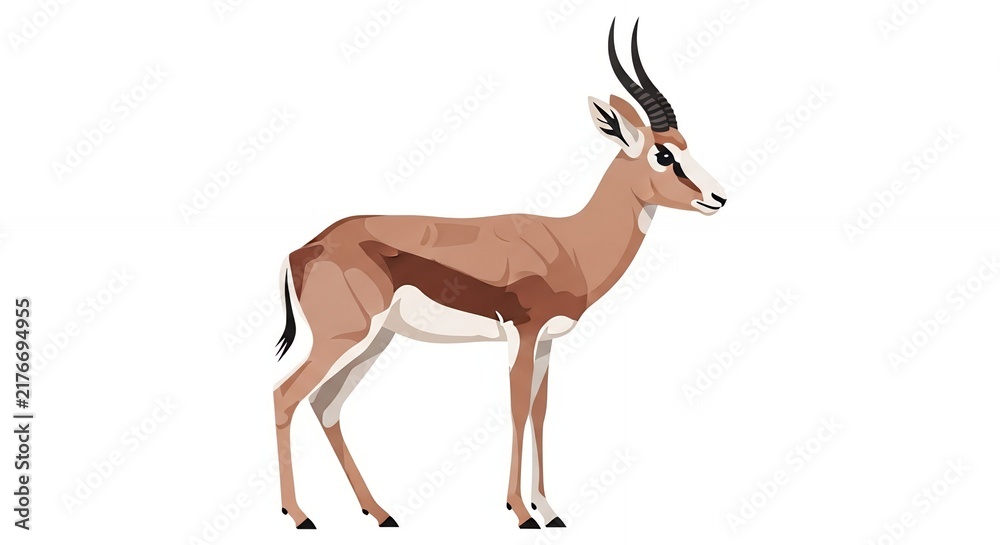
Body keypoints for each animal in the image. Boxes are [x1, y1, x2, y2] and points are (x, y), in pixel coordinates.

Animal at [271, 19, 727, 530]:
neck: (571, 244)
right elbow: (516, 410)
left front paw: (550, 510)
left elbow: (541, 412)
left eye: (686, 147)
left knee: (325, 406)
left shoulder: (546, 342)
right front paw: (522, 513)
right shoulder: (522, 335)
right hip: (343, 338)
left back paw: (379, 512)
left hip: (374, 340)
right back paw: (299, 515)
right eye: (664, 155)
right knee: (285, 395)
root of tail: (304, 248)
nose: (718, 197)